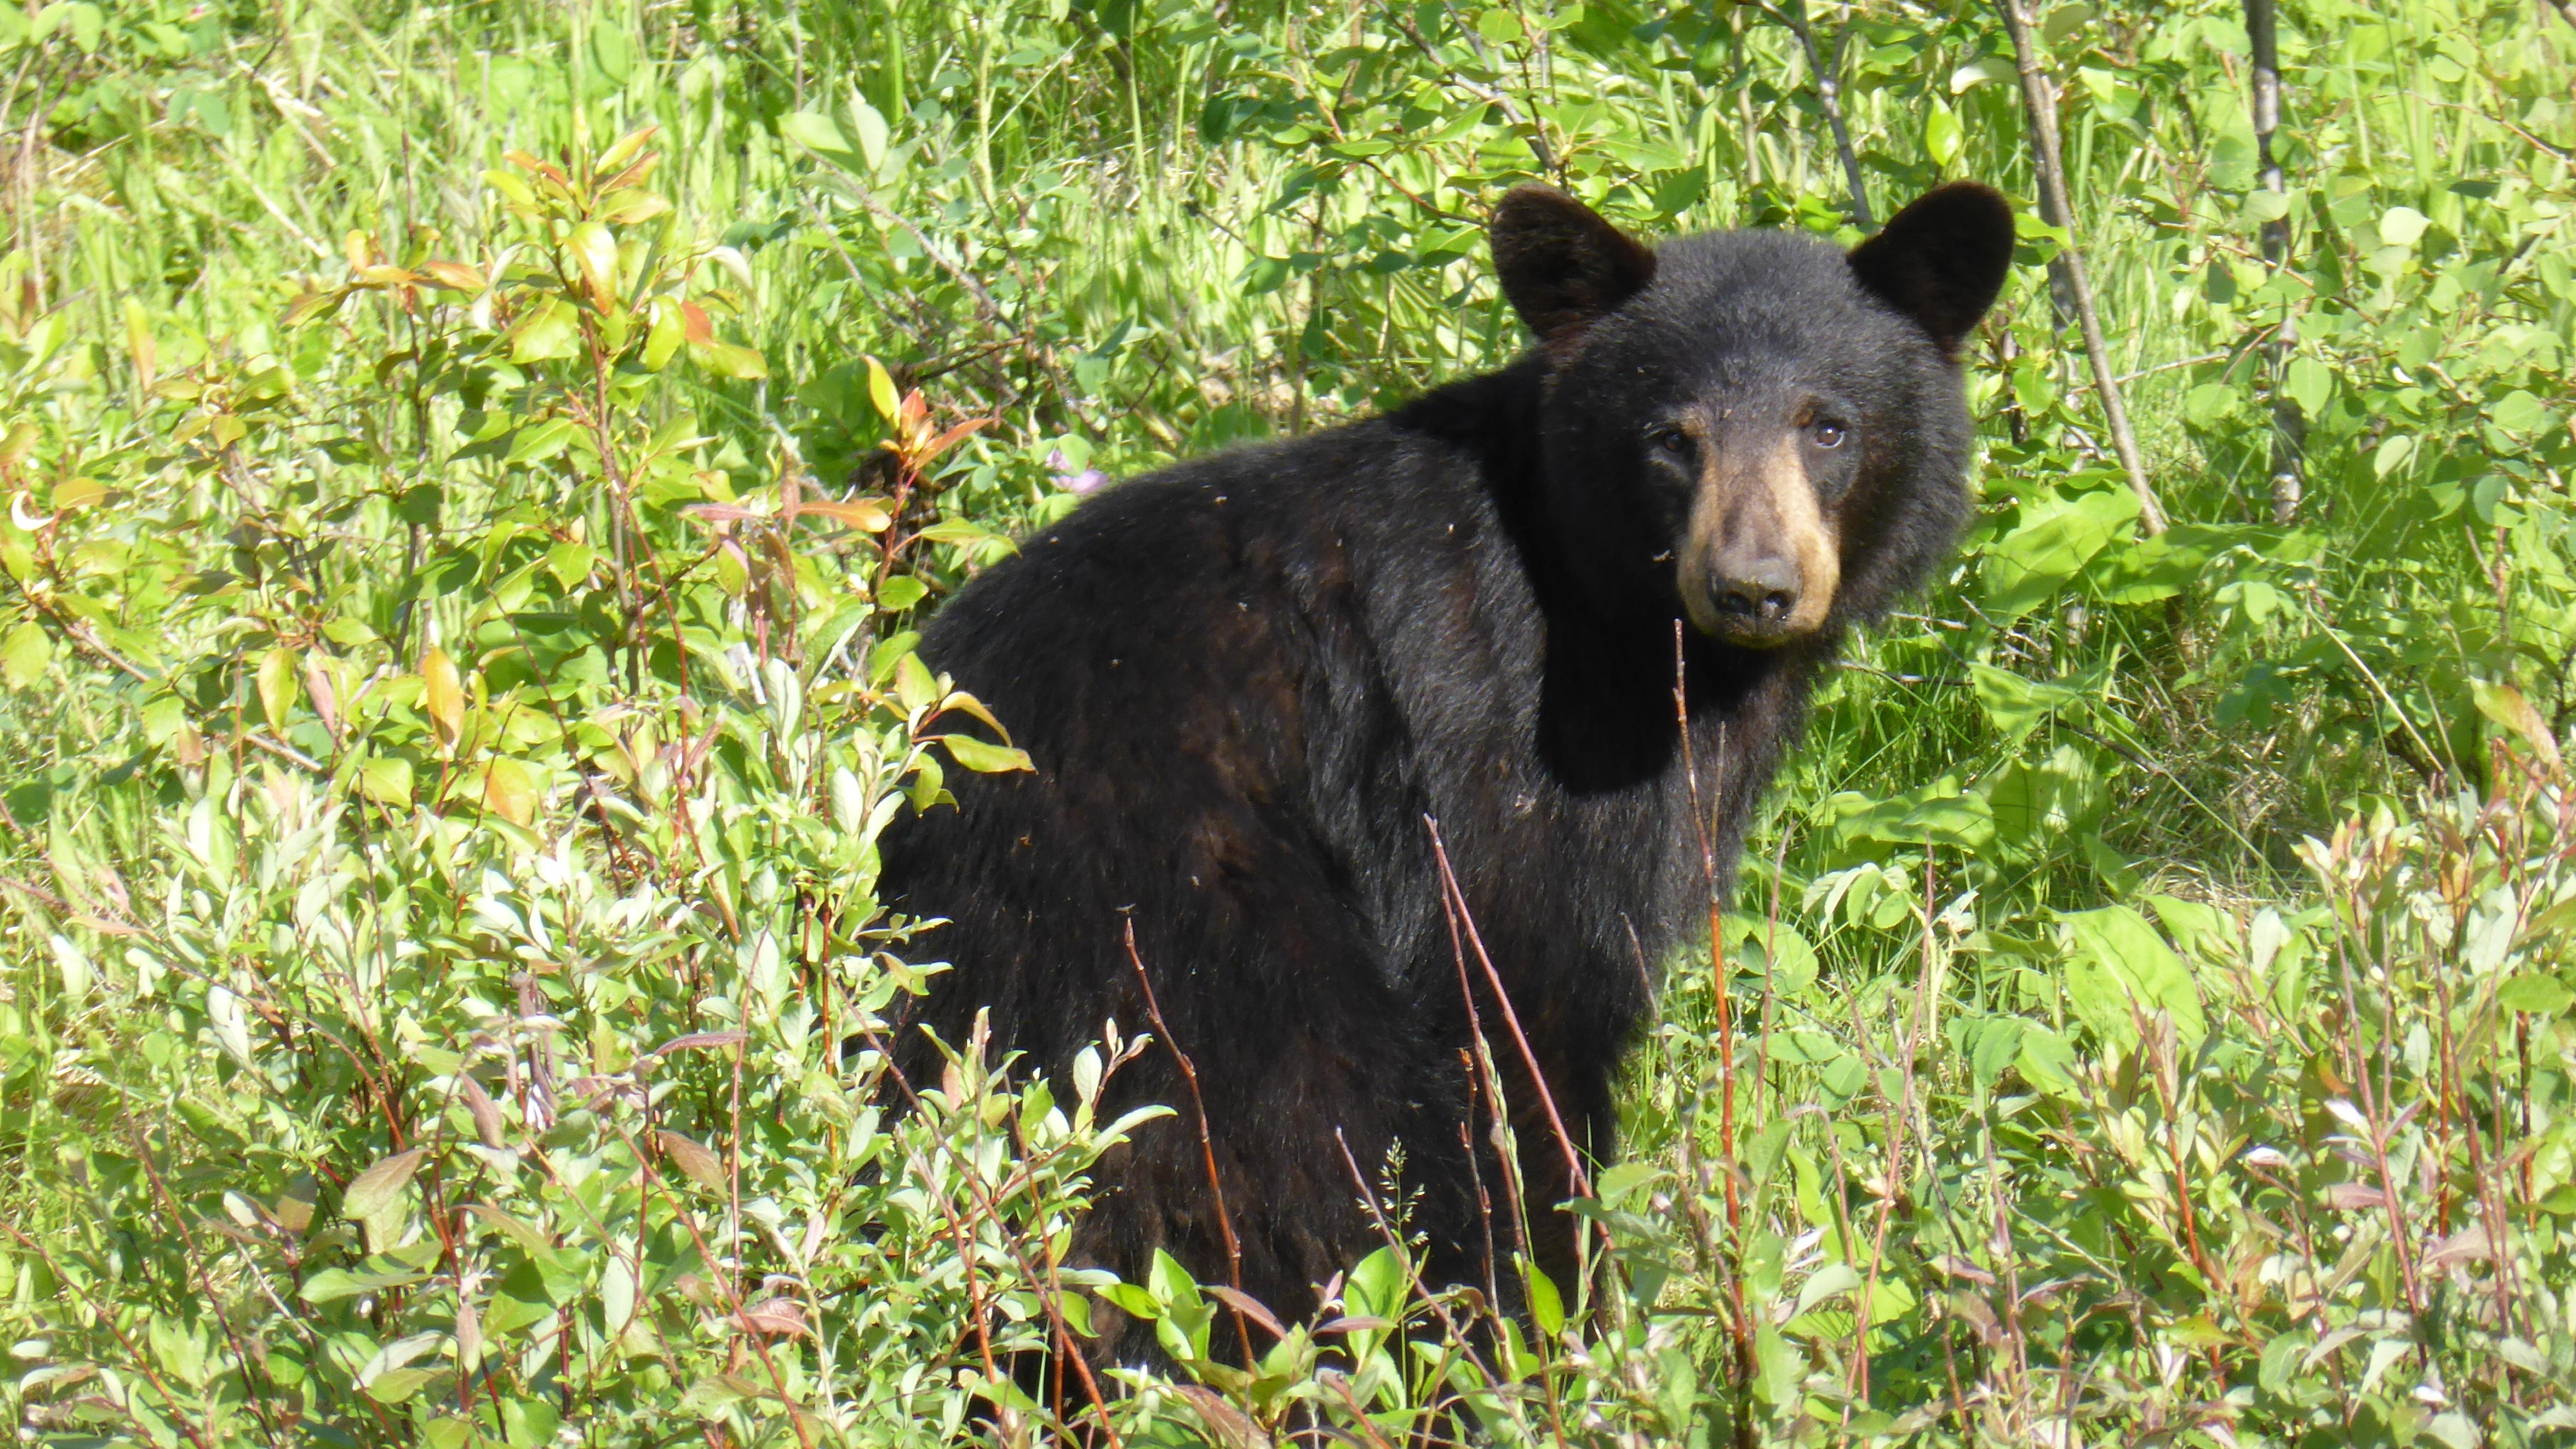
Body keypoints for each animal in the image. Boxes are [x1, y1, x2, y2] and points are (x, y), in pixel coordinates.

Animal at [875, 181, 2012, 1367]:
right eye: (1671, 437)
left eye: (1828, 424)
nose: (1753, 587)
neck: (1612, 618)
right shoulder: (1500, 750)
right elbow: (1527, 1009)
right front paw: (1562, 1322)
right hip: (1179, 941)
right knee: (1310, 1130)